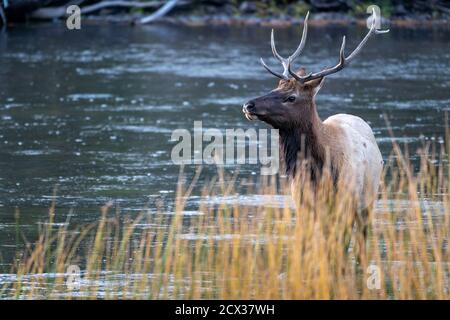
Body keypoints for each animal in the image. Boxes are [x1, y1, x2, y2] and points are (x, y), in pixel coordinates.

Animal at [243, 9, 386, 245]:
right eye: (275, 87)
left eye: (291, 97)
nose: (248, 104)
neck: (318, 171)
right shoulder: (303, 204)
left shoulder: (345, 202)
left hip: (368, 198)